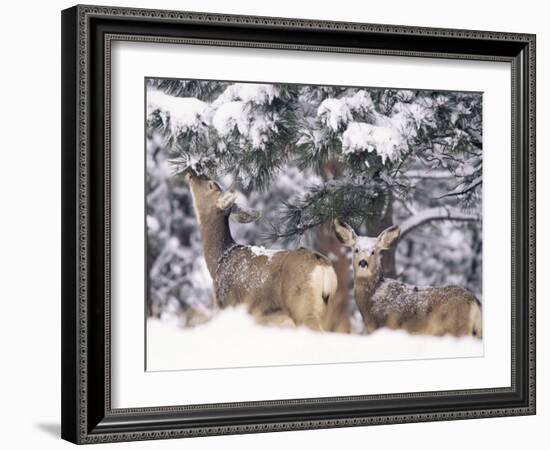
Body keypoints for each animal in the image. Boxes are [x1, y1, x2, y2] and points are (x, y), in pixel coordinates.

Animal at [185, 169, 338, 330]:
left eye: (211, 185)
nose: (192, 173)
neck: (219, 260)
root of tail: (323, 265)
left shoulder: (229, 304)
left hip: (303, 308)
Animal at [332, 218, 484, 338]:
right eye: (356, 250)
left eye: (374, 251)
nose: (363, 262)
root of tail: (475, 303)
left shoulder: (389, 325)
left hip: (457, 328)